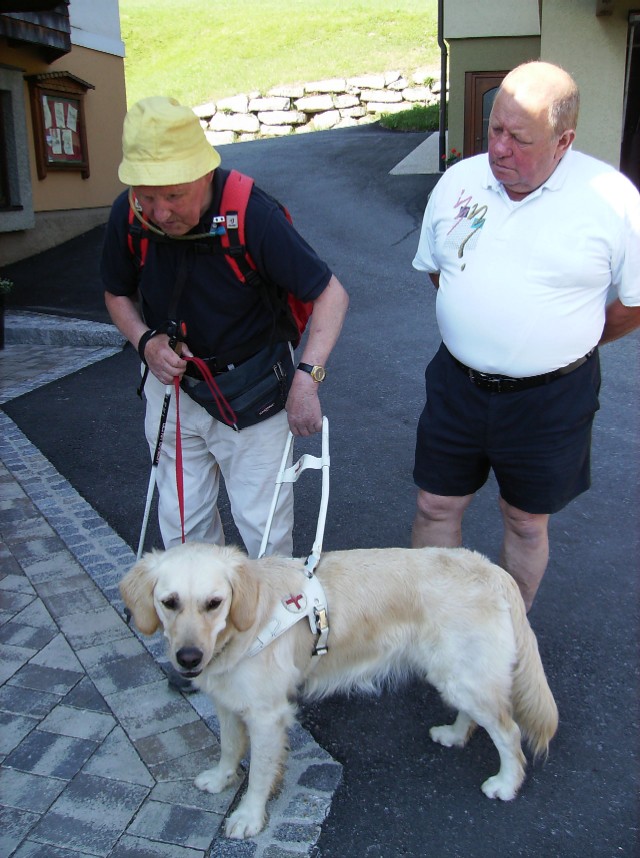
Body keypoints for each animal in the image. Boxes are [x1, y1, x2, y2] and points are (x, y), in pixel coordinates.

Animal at [120, 540, 556, 836]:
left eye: (214, 603)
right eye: (169, 602)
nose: (188, 658)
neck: (241, 628)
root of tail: (493, 570)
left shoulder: (267, 715)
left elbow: (259, 772)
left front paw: (248, 816)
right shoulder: (228, 701)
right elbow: (229, 746)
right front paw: (221, 777)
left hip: (463, 675)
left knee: (509, 732)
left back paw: (505, 783)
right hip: (455, 674)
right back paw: (453, 733)